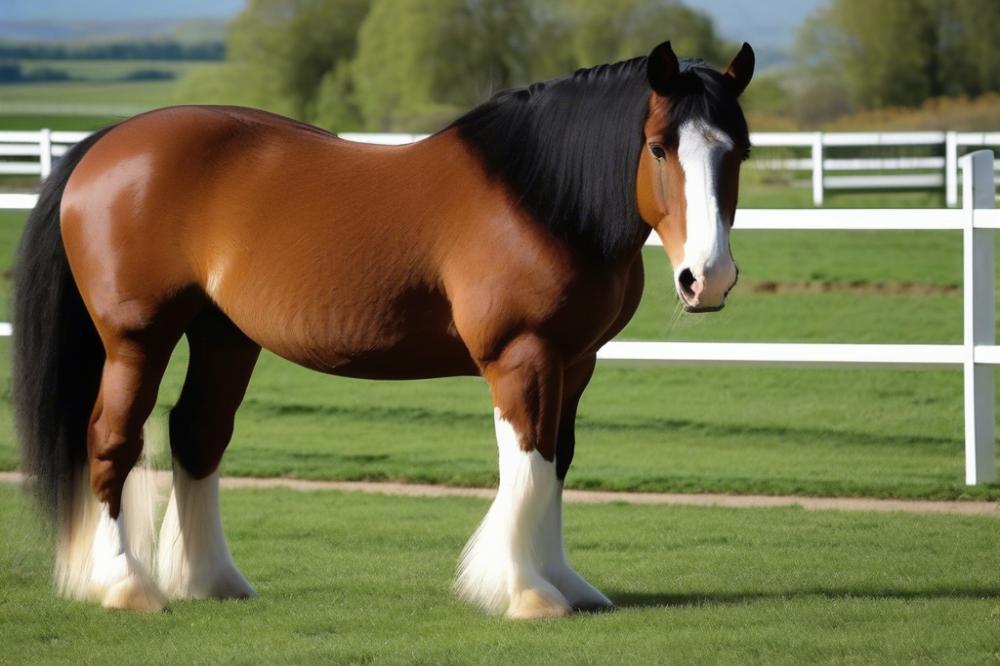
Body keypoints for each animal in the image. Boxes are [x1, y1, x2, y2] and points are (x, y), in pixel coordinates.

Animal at [13, 39, 752, 616]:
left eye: (739, 152)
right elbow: (527, 464)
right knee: (113, 440)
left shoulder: (576, 362)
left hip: (223, 336)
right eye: (657, 148)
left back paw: (211, 581)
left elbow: (555, 463)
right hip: (137, 338)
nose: (707, 278)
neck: (540, 197)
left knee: (197, 435)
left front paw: (564, 584)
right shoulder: (522, 356)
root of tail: (109, 142)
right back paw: (125, 584)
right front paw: (525, 592)